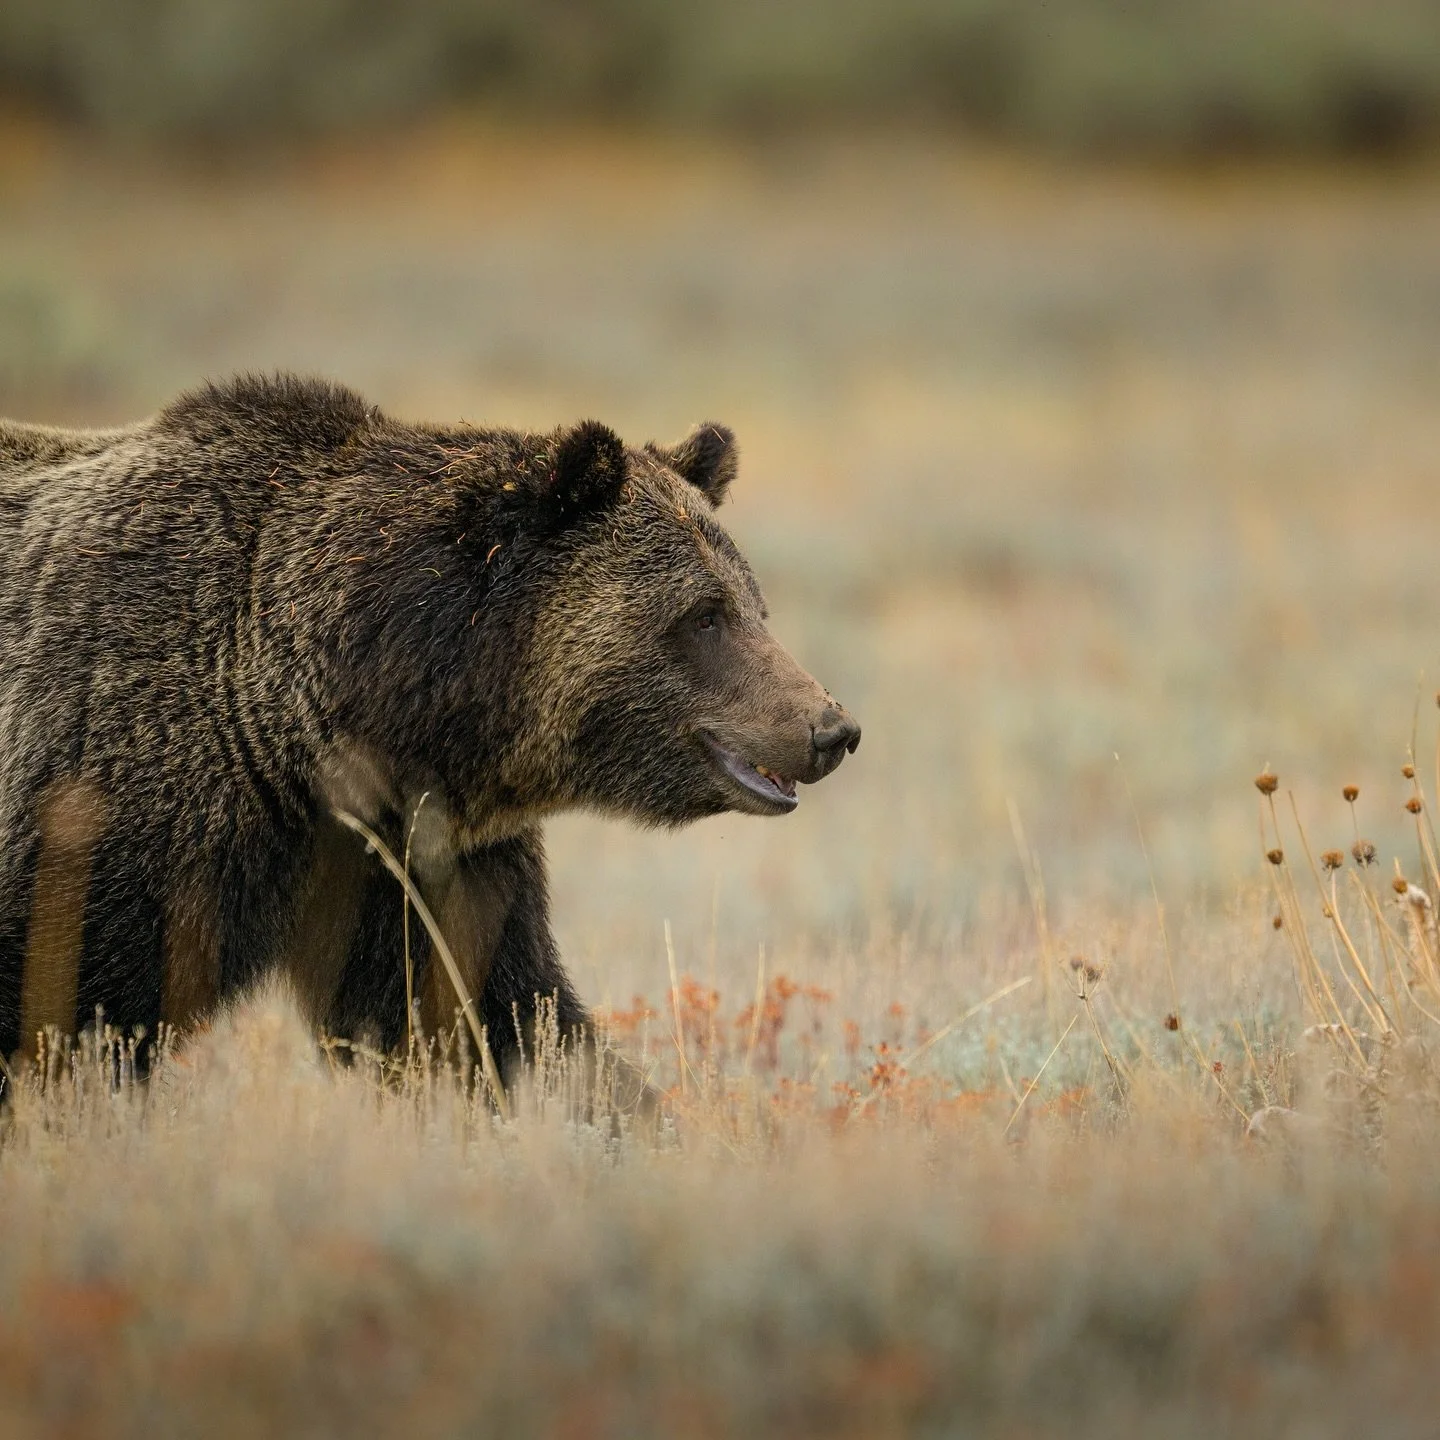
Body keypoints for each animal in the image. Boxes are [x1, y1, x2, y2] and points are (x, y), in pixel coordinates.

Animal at [0, 373, 859, 1096]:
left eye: (753, 605)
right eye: (705, 615)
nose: (830, 728)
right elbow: (70, 1017)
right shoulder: (115, 813)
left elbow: (490, 1010)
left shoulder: (412, 857)